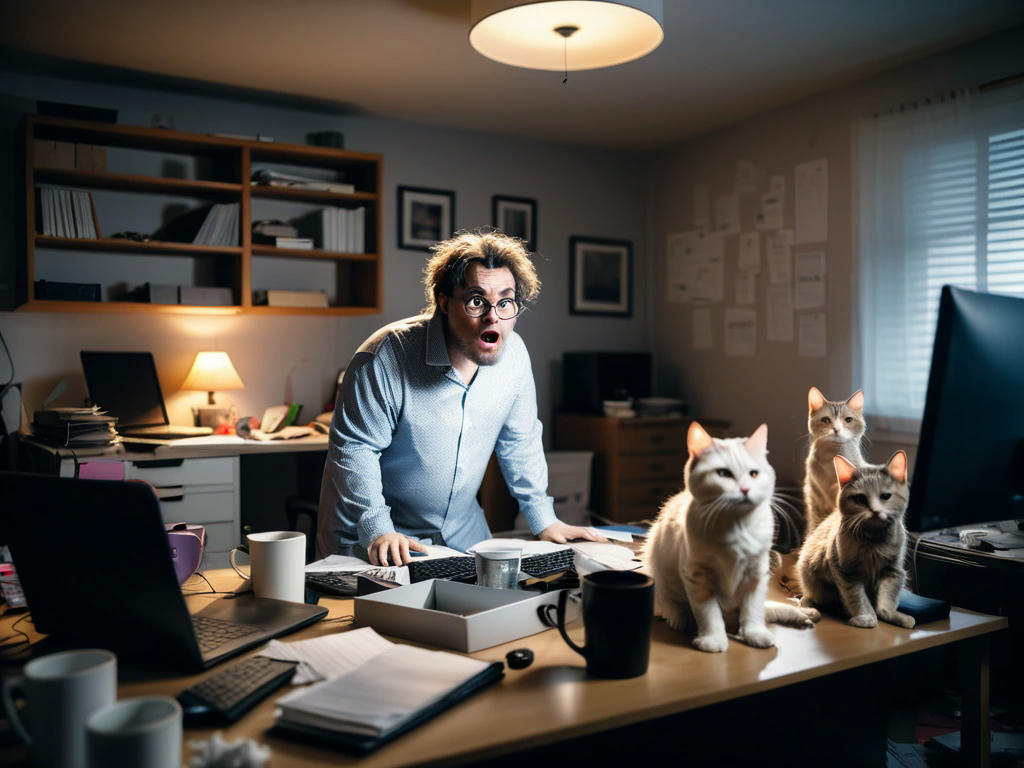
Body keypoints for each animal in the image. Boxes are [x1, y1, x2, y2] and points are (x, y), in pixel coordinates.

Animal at [643, 421, 819, 655]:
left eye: (754, 474)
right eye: (723, 474)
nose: (744, 489)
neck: (737, 530)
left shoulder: (755, 575)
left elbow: (754, 613)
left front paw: (757, 636)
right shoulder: (699, 577)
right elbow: (709, 615)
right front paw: (714, 642)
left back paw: (806, 615)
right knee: (676, 608)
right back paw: (681, 619)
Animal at [794, 454, 917, 626]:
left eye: (886, 496)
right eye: (860, 499)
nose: (875, 510)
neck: (873, 540)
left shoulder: (893, 571)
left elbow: (887, 602)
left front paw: (895, 616)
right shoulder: (845, 572)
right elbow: (858, 599)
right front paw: (866, 617)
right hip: (811, 579)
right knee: (810, 597)